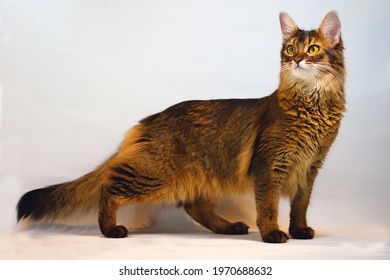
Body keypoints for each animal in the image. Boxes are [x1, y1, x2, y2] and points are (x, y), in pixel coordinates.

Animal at [16, 10, 344, 243]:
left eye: (313, 49)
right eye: (289, 50)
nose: (298, 60)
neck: (313, 105)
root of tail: (148, 120)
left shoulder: (310, 168)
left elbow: (300, 206)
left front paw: (299, 230)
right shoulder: (269, 166)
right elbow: (269, 206)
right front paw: (272, 233)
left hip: (209, 174)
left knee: (194, 207)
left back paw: (228, 227)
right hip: (156, 174)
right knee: (109, 187)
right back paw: (109, 229)